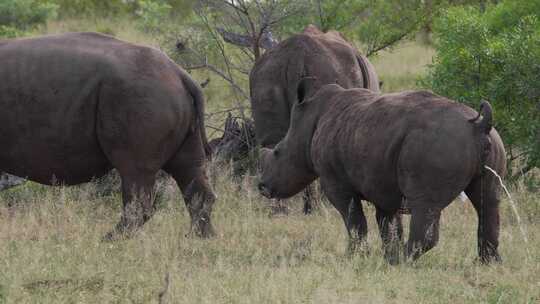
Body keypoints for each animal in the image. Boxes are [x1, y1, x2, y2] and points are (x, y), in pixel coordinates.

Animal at [260, 80, 508, 264]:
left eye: (278, 153)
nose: (262, 187)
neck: (309, 122)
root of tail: (479, 125)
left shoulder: (335, 182)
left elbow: (354, 220)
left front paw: (356, 257)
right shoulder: (381, 181)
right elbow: (388, 224)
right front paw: (387, 256)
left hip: (436, 144)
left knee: (426, 203)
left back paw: (404, 261)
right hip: (491, 142)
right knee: (488, 201)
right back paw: (487, 263)